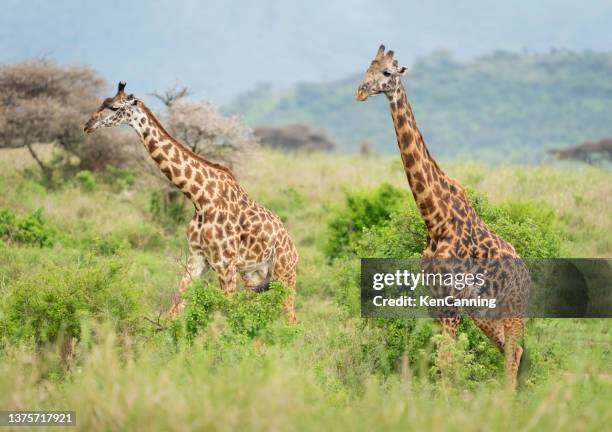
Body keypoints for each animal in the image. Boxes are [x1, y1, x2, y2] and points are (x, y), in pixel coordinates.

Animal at [83, 82, 298, 322]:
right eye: (103, 102)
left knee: (291, 318)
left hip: (284, 273)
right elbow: (175, 309)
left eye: (114, 107)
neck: (199, 198)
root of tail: (293, 247)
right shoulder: (197, 257)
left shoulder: (225, 263)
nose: (87, 125)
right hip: (254, 274)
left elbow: (228, 314)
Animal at [356, 46, 528, 388]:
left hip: (513, 308)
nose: (360, 92)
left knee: (515, 351)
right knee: (508, 349)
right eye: (367, 68)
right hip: (484, 312)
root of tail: (528, 274)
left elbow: (447, 361)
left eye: (387, 73)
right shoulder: (435, 301)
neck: (436, 220)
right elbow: (439, 359)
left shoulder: (451, 303)